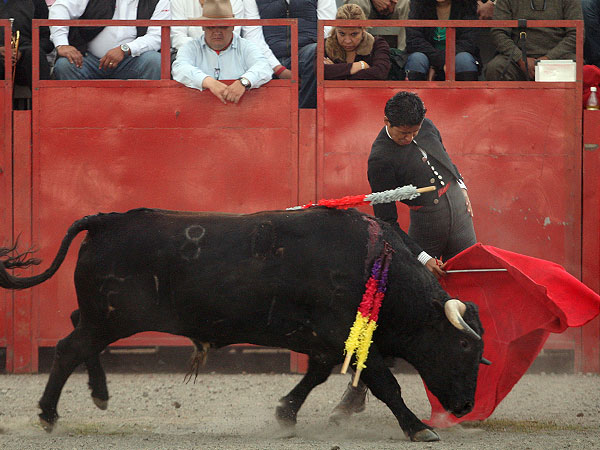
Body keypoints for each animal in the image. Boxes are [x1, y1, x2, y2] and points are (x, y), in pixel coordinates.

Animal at [0, 207, 487, 442]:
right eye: (465, 347)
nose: (466, 406)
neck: (378, 264)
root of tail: (105, 221)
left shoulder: (325, 341)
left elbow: (315, 375)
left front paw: (285, 413)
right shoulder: (342, 334)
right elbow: (386, 383)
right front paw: (418, 427)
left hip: (106, 317)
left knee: (77, 336)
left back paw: (99, 395)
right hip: (113, 317)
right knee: (69, 347)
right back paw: (48, 415)